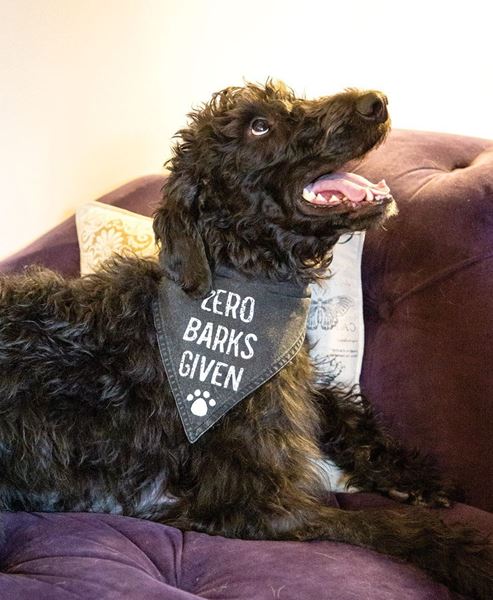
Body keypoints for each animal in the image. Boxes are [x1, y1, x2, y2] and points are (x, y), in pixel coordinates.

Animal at [0, 81, 490, 600]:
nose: (375, 101)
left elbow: (341, 409)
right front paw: (468, 551)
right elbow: (386, 524)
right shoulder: (252, 502)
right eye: (259, 127)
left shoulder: (290, 380)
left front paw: (412, 475)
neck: (243, 277)